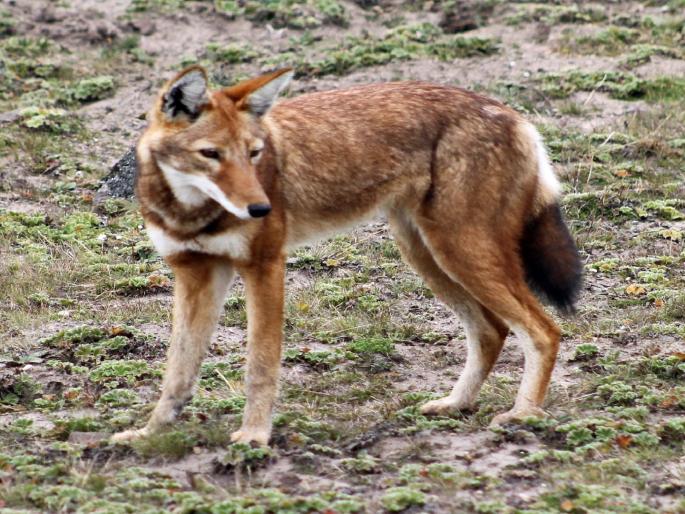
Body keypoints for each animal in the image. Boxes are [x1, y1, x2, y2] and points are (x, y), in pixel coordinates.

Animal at [111, 66, 581, 446]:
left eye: (254, 153)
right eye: (211, 154)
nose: (262, 208)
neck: (191, 214)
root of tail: (515, 115)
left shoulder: (265, 267)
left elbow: (260, 365)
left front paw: (254, 437)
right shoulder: (195, 274)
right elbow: (177, 370)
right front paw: (150, 433)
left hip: (460, 254)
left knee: (544, 331)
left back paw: (524, 416)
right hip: (427, 256)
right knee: (491, 331)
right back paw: (456, 405)